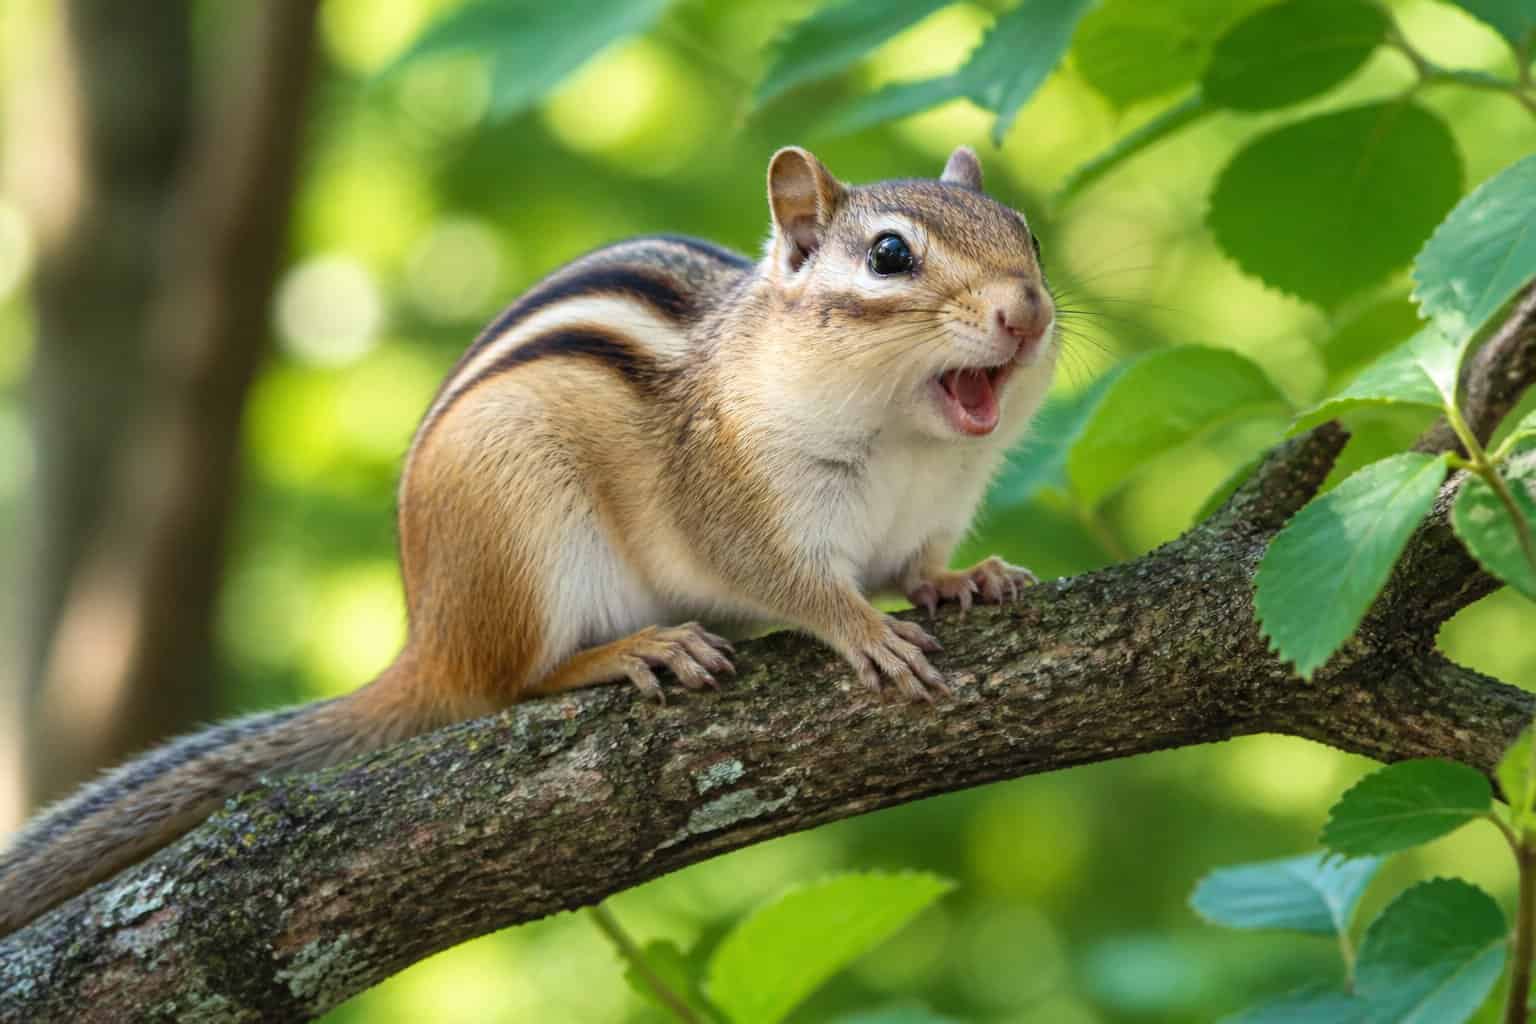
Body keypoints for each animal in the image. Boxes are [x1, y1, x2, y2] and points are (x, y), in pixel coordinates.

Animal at [0, 145, 1055, 938]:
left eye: (1028, 235)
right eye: (890, 255)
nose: (1028, 310)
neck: (907, 444)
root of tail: (429, 639)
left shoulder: (930, 511)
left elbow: (916, 563)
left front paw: (966, 580)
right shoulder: (735, 497)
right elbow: (793, 583)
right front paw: (863, 630)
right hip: (525, 533)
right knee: (510, 682)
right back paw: (631, 650)